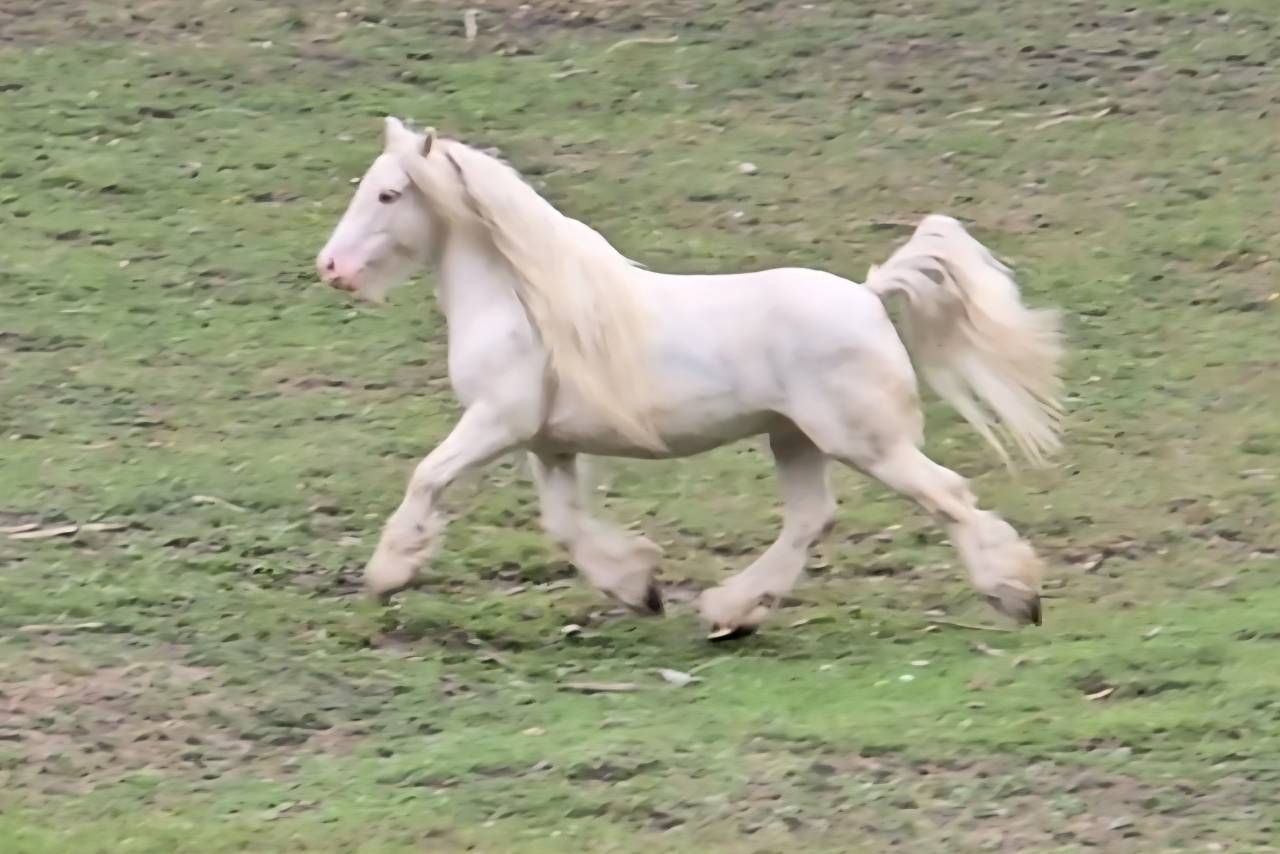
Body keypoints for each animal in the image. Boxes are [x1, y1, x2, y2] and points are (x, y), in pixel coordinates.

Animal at [315, 117, 1064, 640]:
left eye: (388, 193)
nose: (331, 268)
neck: (522, 303)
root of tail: (870, 292)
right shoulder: (548, 444)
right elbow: (564, 525)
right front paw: (637, 587)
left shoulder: (497, 422)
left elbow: (427, 477)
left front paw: (388, 574)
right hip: (794, 439)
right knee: (812, 519)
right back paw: (734, 612)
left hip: (864, 442)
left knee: (948, 496)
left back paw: (1016, 596)